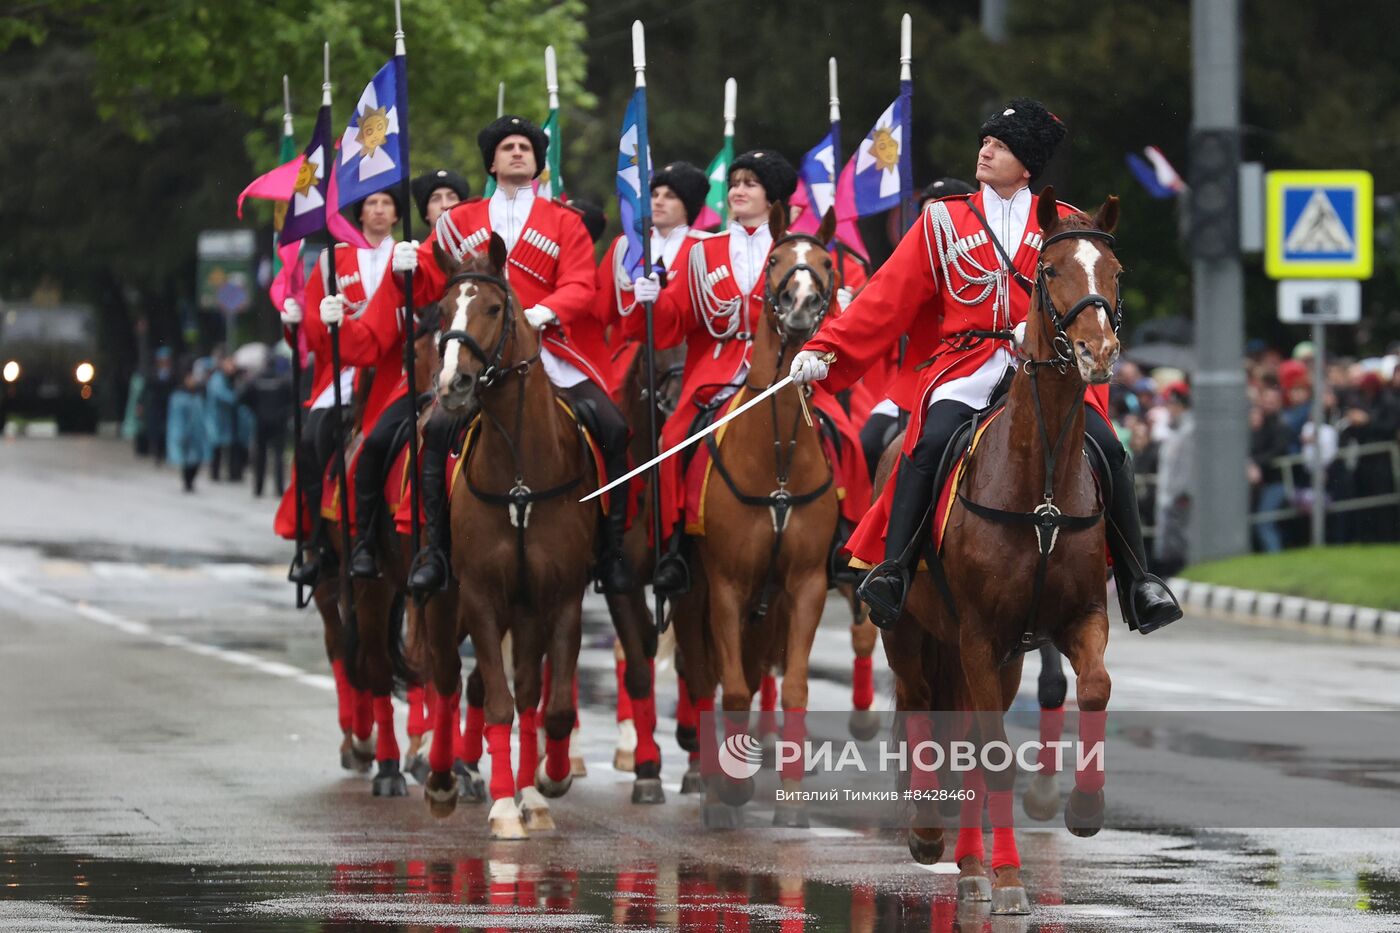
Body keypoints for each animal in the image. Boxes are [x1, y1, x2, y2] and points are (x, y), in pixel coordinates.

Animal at [411, 236, 593, 840]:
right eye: (442, 311)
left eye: (493, 308)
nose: (452, 385)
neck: (520, 475)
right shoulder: (482, 596)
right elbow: (496, 703)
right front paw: (501, 807)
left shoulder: (558, 598)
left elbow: (549, 705)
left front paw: (545, 785)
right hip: (444, 600)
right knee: (447, 680)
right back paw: (443, 780)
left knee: (524, 693)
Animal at [669, 207, 840, 823]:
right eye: (775, 260)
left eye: (826, 261)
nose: (802, 303)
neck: (778, 459)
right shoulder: (725, 585)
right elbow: (735, 688)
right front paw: (732, 790)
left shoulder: (805, 585)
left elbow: (793, 687)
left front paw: (791, 799)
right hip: (690, 597)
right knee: (702, 678)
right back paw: (707, 780)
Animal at [879, 190, 1120, 913]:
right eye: (1052, 270)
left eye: (1115, 271)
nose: (1099, 351)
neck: (1039, 484)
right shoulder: (979, 633)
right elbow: (993, 754)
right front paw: (1010, 878)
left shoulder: (1072, 619)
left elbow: (1094, 688)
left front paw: (1084, 808)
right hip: (911, 631)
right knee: (921, 704)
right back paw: (933, 835)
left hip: (997, 652)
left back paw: (969, 862)